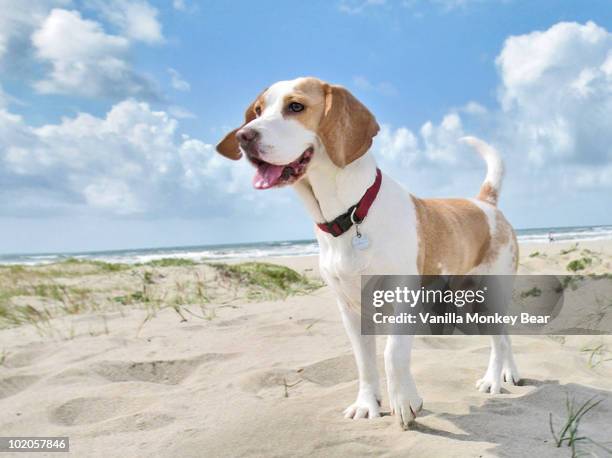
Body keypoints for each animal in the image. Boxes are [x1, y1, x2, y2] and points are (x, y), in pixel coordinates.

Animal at [218, 77, 520, 428]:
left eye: (295, 106)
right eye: (258, 111)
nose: (244, 136)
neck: (350, 215)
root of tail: (485, 202)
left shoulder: (403, 299)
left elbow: (392, 353)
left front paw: (404, 402)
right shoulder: (350, 309)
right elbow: (364, 362)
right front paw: (368, 404)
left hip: (490, 295)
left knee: (500, 340)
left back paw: (494, 379)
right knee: (504, 336)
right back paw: (509, 373)